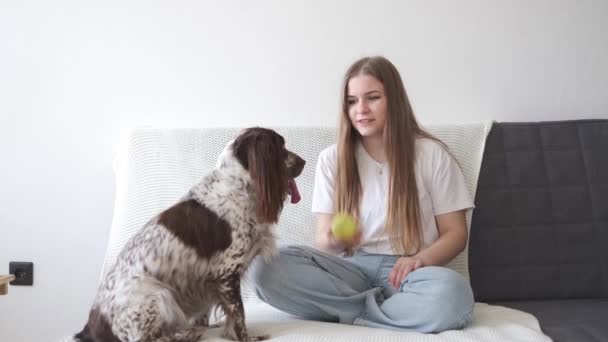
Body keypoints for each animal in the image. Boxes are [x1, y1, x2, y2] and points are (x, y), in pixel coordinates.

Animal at [70, 128, 304, 342]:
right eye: (281, 146)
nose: (304, 162)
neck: (238, 185)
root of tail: (89, 328)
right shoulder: (226, 272)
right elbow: (239, 314)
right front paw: (245, 338)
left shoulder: (212, 280)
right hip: (160, 296)